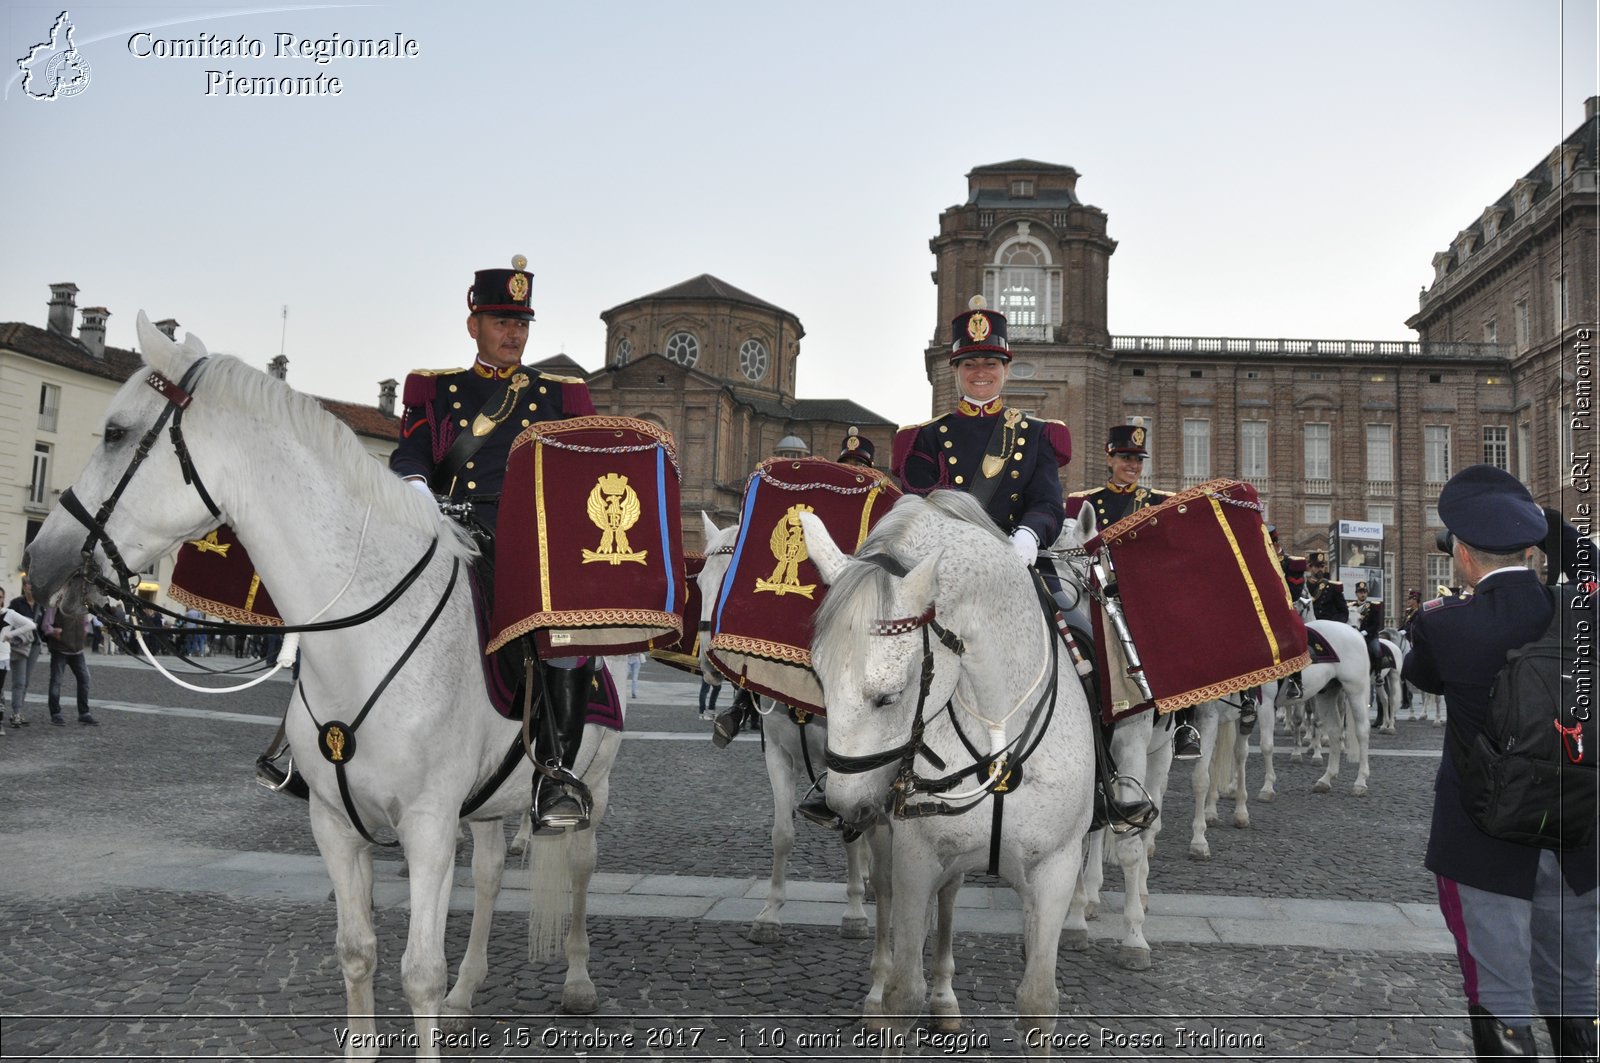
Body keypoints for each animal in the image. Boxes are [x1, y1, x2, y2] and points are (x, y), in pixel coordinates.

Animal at [26, 313, 624, 1056]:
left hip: (593, 786)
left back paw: (578, 980)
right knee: (487, 879)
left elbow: (419, 973)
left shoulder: (429, 826)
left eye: (114, 432)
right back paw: (468, 990)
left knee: (580, 870)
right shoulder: (335, 824)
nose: (37, 562)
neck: (365, 632)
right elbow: (358, 951)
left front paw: (445, 993)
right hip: (488, 803)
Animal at [700, 515, 876, 947]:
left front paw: (855, 913)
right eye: (700, 583)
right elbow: (782, 832)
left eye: (732, 585)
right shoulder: (779, 754)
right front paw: (770, 913)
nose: (709, 662)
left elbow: (850, 830)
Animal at [806, 493, 1094, 1056]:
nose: (844, 806)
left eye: (888, 696)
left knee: (951, 896)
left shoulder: (1056, 867)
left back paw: (944, 999)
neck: (997, 726)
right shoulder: (915, 859)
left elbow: (1038, 1001)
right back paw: (877, 991)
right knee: (887, 902)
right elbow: (903, 994)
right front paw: (891, 999)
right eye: (819, 680)